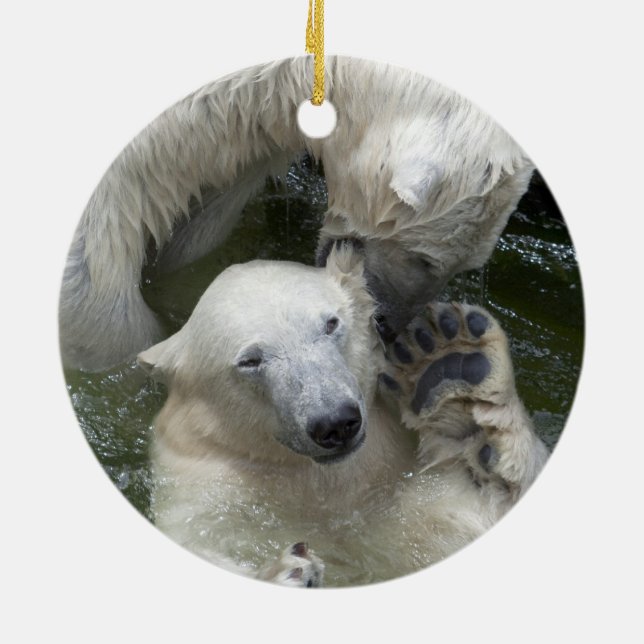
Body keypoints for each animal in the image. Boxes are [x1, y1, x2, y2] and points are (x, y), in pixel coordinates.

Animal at [137, 247, 548, 587]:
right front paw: (289, 571)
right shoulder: (206, 485)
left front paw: (454, 370)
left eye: (331, 324)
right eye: (250, 360)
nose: (335, 422)